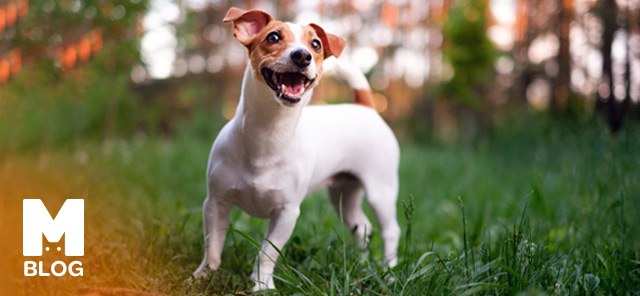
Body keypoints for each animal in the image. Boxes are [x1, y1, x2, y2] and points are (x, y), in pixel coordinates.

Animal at [194, 6, 400, 292]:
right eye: (272, 37)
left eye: (315, 45)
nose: (302, 55)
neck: (268, 132)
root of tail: (366, 107)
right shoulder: (216, 203)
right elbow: (213, 245)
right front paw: (205, 276)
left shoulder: (287, 214)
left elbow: (267, 253)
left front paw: (262, 285)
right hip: (343, 195)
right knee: (363, 227)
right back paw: (362, 262)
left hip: (381, 191)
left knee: (391, 231)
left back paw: (389, 272)